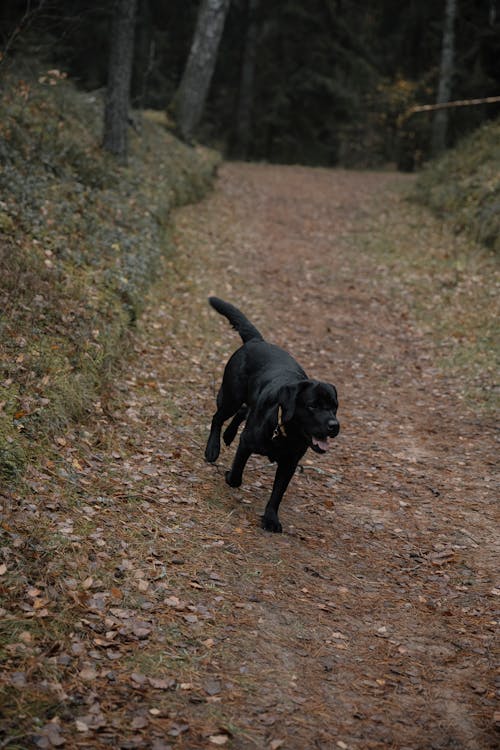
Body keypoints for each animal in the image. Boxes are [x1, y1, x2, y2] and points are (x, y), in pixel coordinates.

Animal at [204, 300, 340, 536]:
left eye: (334, 407)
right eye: (312, 406)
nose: (334, 425)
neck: (286, 434)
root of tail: (257, 340)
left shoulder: (289, 464)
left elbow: (277, 494)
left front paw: (270, 519)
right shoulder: (247, 443)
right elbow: (237, 475)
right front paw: (229, 476)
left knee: (243, 411)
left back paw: (229, 435)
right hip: (231, 395)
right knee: (217, 417)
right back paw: (213, 448)